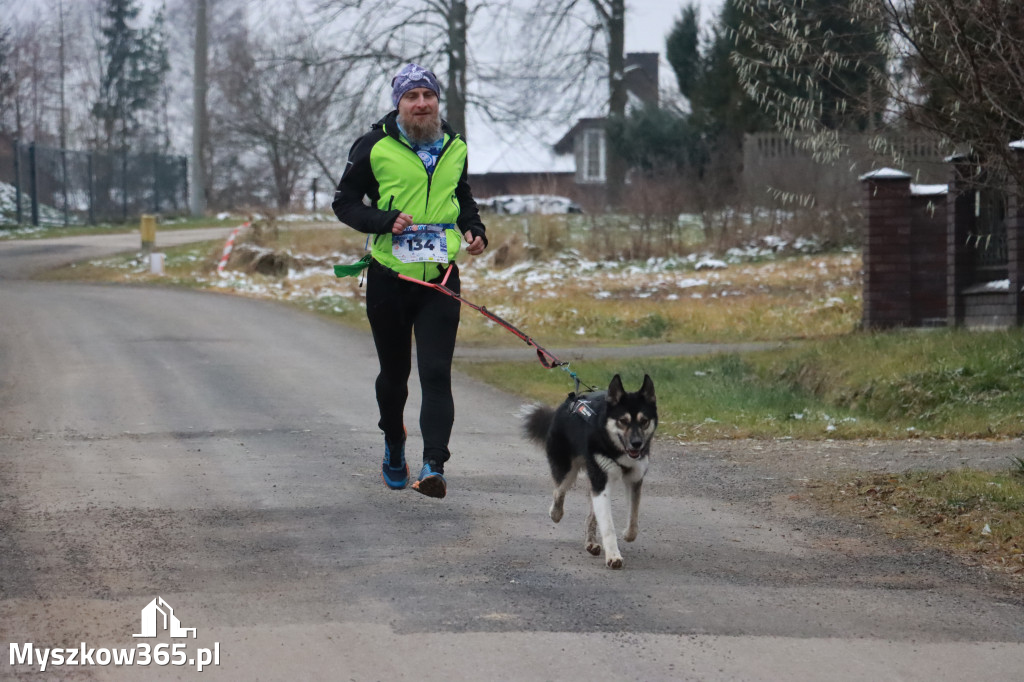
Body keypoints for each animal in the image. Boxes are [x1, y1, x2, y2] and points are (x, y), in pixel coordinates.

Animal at [524, 374, 659, 565]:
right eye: (623, 421)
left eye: (644, 421)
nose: (637, 444)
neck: (615, 449)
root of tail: (568, 402)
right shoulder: (601, 481)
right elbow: (608, 525)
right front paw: (613, 555)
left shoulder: (634, 479)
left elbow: (633, 517)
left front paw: (627, 534)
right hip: (568, 471)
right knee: (559, 491)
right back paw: (556, 513)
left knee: (590, 515)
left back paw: (591, 543)